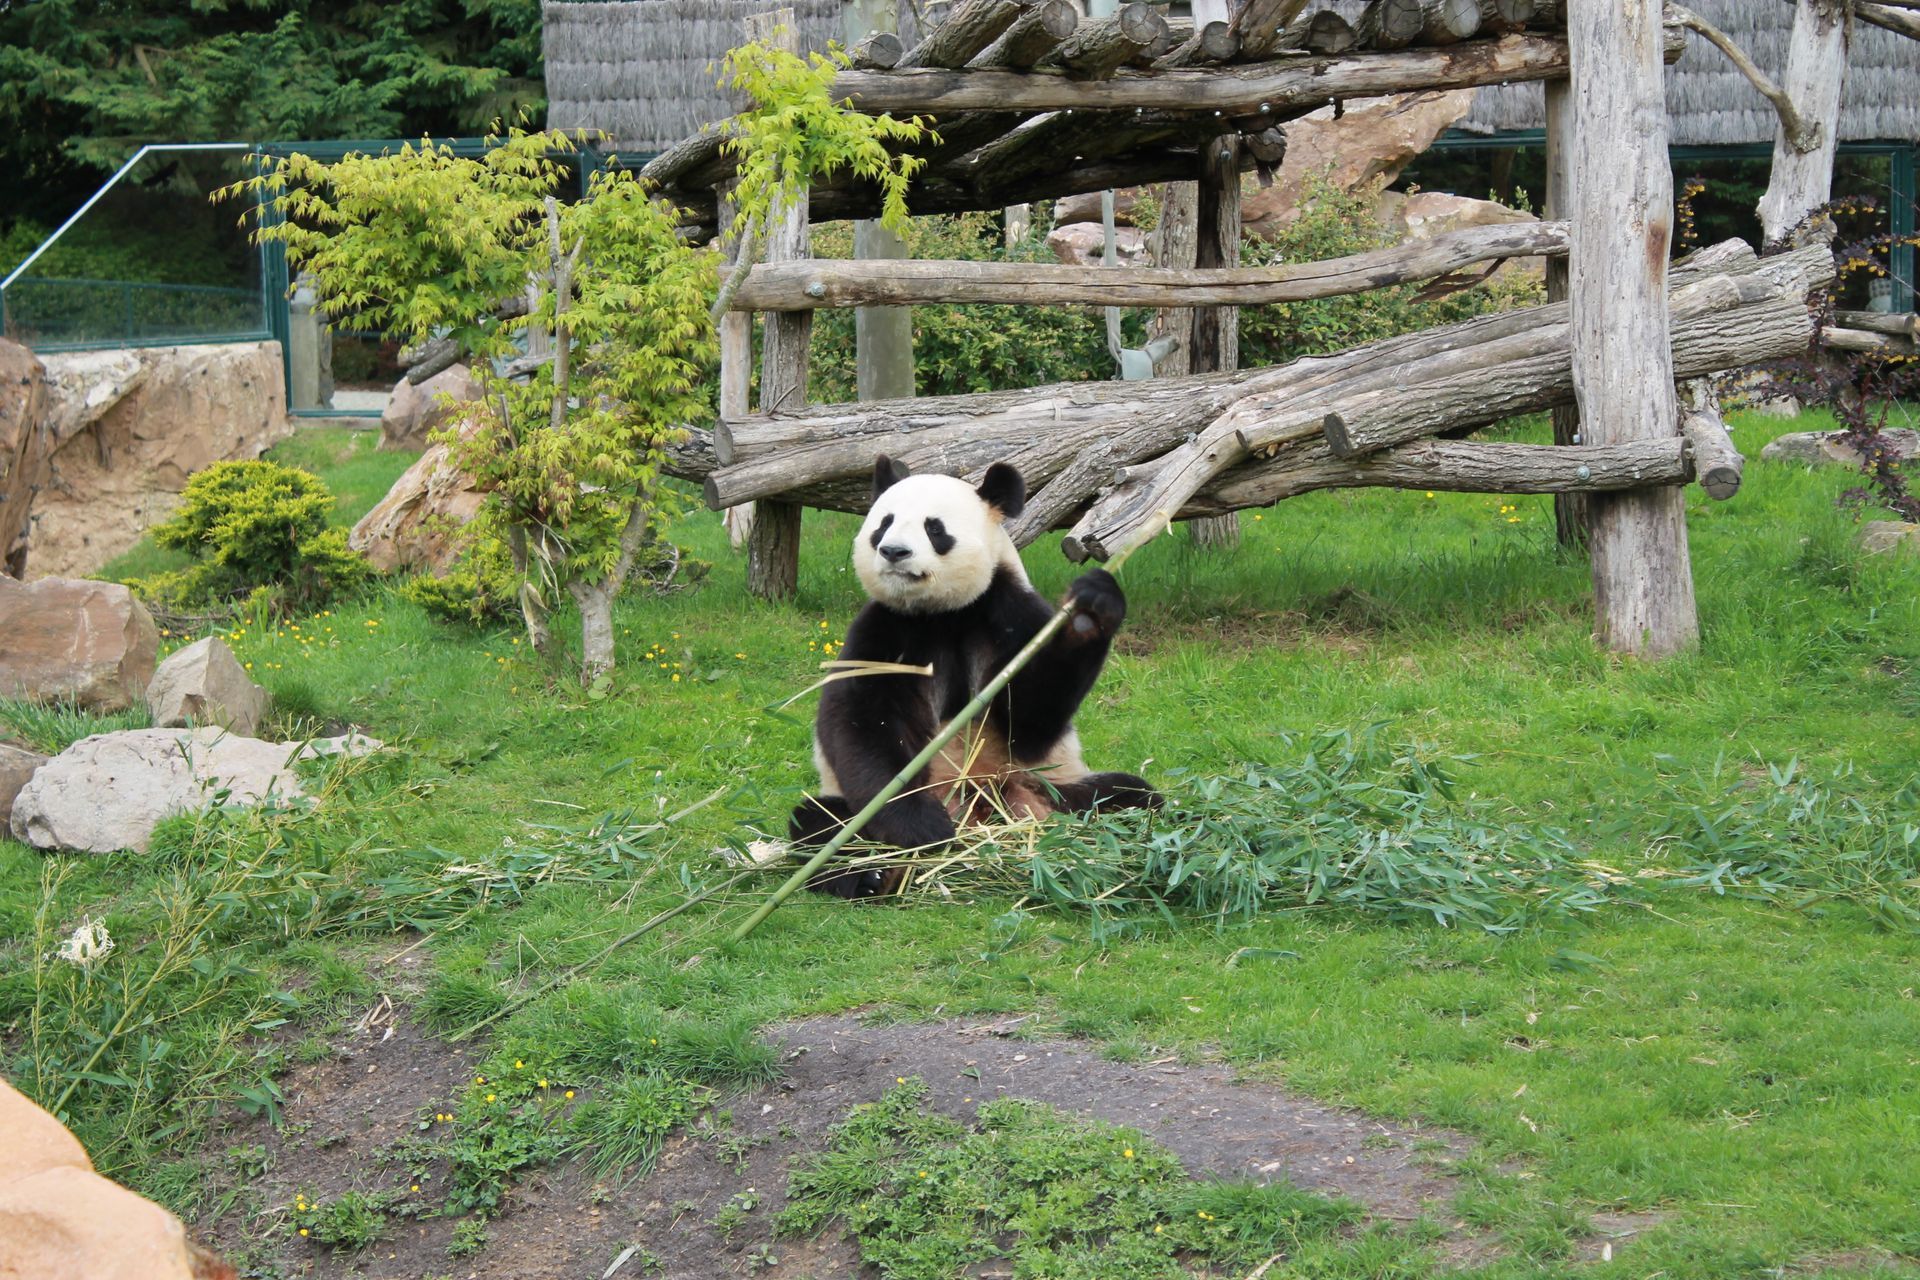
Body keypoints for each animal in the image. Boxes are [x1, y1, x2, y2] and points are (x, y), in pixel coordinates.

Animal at [791, 455, 1160, 898]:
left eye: (934, 528)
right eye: (883, 522)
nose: (893, 551)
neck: (943, 612)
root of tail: (976, 812)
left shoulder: (1010, 614)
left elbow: (1032, 721)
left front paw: (1089, 612)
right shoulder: (884, 629)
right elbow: (861, 722)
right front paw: (921, 827)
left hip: (1052, 787)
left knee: (1130, 797)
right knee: (817, 823)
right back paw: (872, 873)